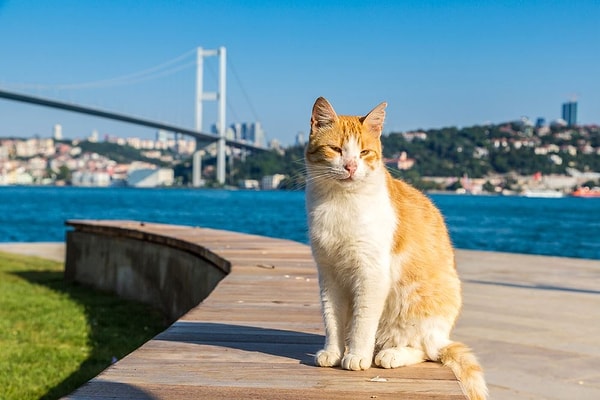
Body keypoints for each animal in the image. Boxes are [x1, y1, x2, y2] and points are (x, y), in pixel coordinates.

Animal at [304, 97, 488, 400]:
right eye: (336, 149)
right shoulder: (328, 274)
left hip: (415, 306)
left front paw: (356, 355)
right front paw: (333, 351)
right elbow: (332, 318)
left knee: (428, 349)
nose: (351, 167)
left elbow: (362, 322)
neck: (340, 202)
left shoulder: (372, 273)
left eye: (364, 152)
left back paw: (391, 354)